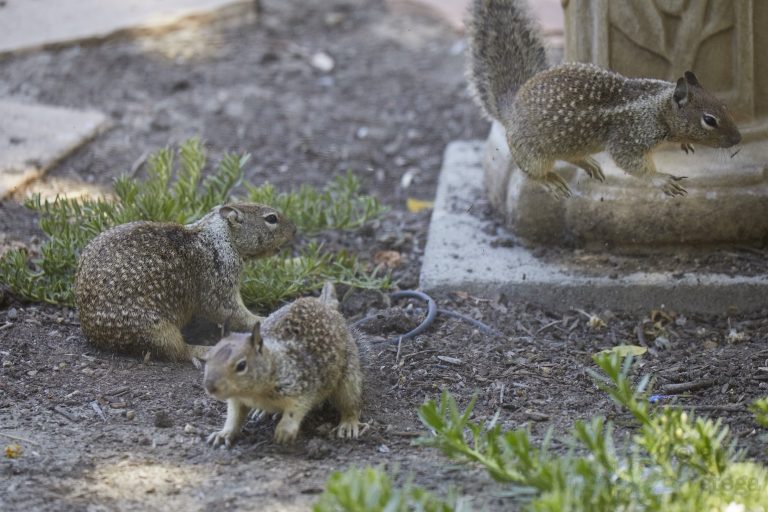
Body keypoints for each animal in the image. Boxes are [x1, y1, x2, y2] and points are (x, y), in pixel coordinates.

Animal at [75, 203, 296, 363]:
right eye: (271, 218)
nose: (294, 229)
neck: (221, 235)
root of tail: (92, 333)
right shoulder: (219, 278)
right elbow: (229, 310)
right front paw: (263, 319)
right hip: (156, 330)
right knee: (177, 351)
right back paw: (203, 350)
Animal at [203, 281, 364, 447]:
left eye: (241, 366)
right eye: (207, 358)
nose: (209, 387)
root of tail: (323, 304)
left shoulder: (301, 385)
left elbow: (296, 409)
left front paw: (284, 431)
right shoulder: (237, 400)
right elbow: (234, 417)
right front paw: (224, 433)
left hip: (349, 376)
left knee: (350, 403)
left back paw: (348, 424)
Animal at [467, 0, 742, 198]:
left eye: (725, 106)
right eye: (710, 120)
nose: (738, 139)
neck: (657, 107)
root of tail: (511, 109)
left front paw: (684, 143)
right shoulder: (629, 137)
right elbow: (630, 163)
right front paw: (661, 179)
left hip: (571, 143)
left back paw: (588, 164)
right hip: (532, 154)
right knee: (532, 174)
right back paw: (551, 182)